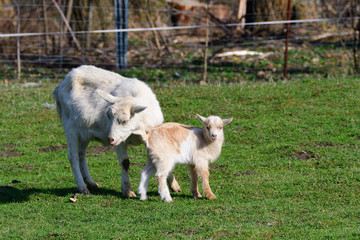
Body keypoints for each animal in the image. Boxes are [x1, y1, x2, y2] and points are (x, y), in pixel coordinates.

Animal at [53, 65, 180, 197]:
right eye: (108, 116)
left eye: (125, 121)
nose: (110, 139)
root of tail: (62, 84)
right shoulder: (120, 141)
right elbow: (125, 162)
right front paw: (128, 190)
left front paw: (174, 185)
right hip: (70, 128)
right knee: (73, 156)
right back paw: (82, 187)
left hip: (84, 132)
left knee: (81, 154)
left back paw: (91, 182)